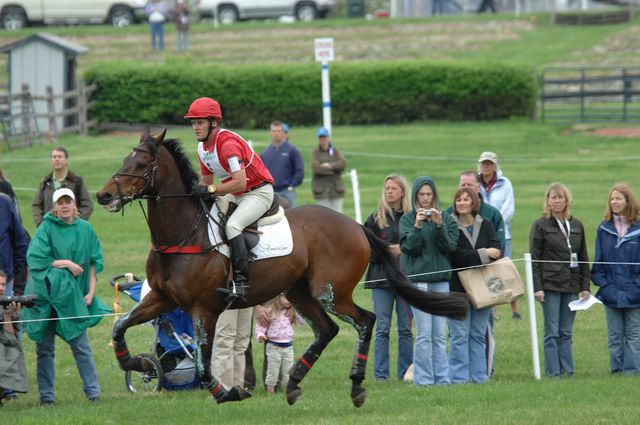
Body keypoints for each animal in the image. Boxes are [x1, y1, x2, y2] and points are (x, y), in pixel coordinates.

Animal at [95, 130, 464, 408]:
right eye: (125, 160)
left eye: (141, 163)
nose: (103, 196)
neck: (182, 234)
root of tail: (357, 226)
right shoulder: (162, 298)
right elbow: (120, 329)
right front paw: (138, 364)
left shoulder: (204, 308)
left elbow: (202, 364)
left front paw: (227, 393)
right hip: (299, 292)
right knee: (327, 330)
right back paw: (295, 382)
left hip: (329, 292)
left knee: (365, 321)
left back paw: (357, 385)